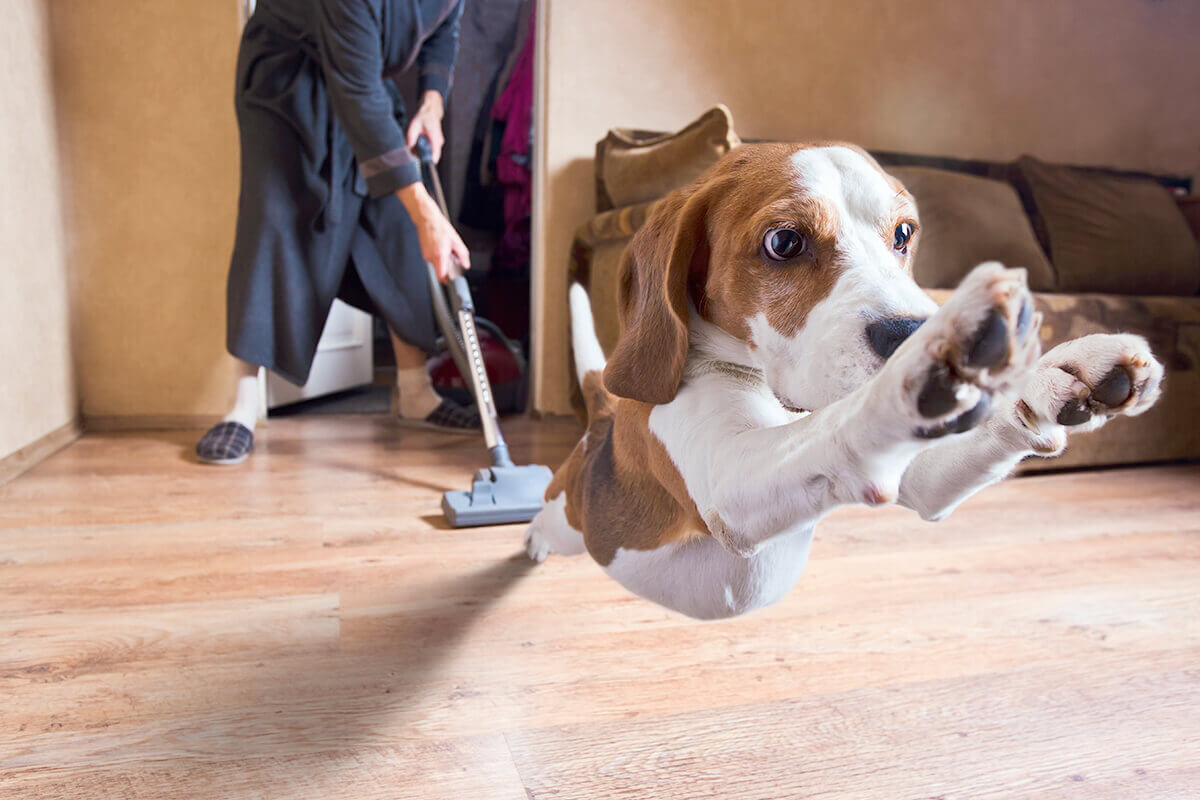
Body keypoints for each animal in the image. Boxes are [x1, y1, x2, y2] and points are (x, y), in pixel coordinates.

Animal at [528, 143, 1161, 618]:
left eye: (903, 233)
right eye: (783, 242)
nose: (913, 330)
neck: (768, 393)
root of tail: (601, 425)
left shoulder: (917, 475)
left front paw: (1054, 373)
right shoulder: (728, 479)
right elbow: (844, 420)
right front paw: (926, 366)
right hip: (569, 516)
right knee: (547, 517)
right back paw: (532, 538)